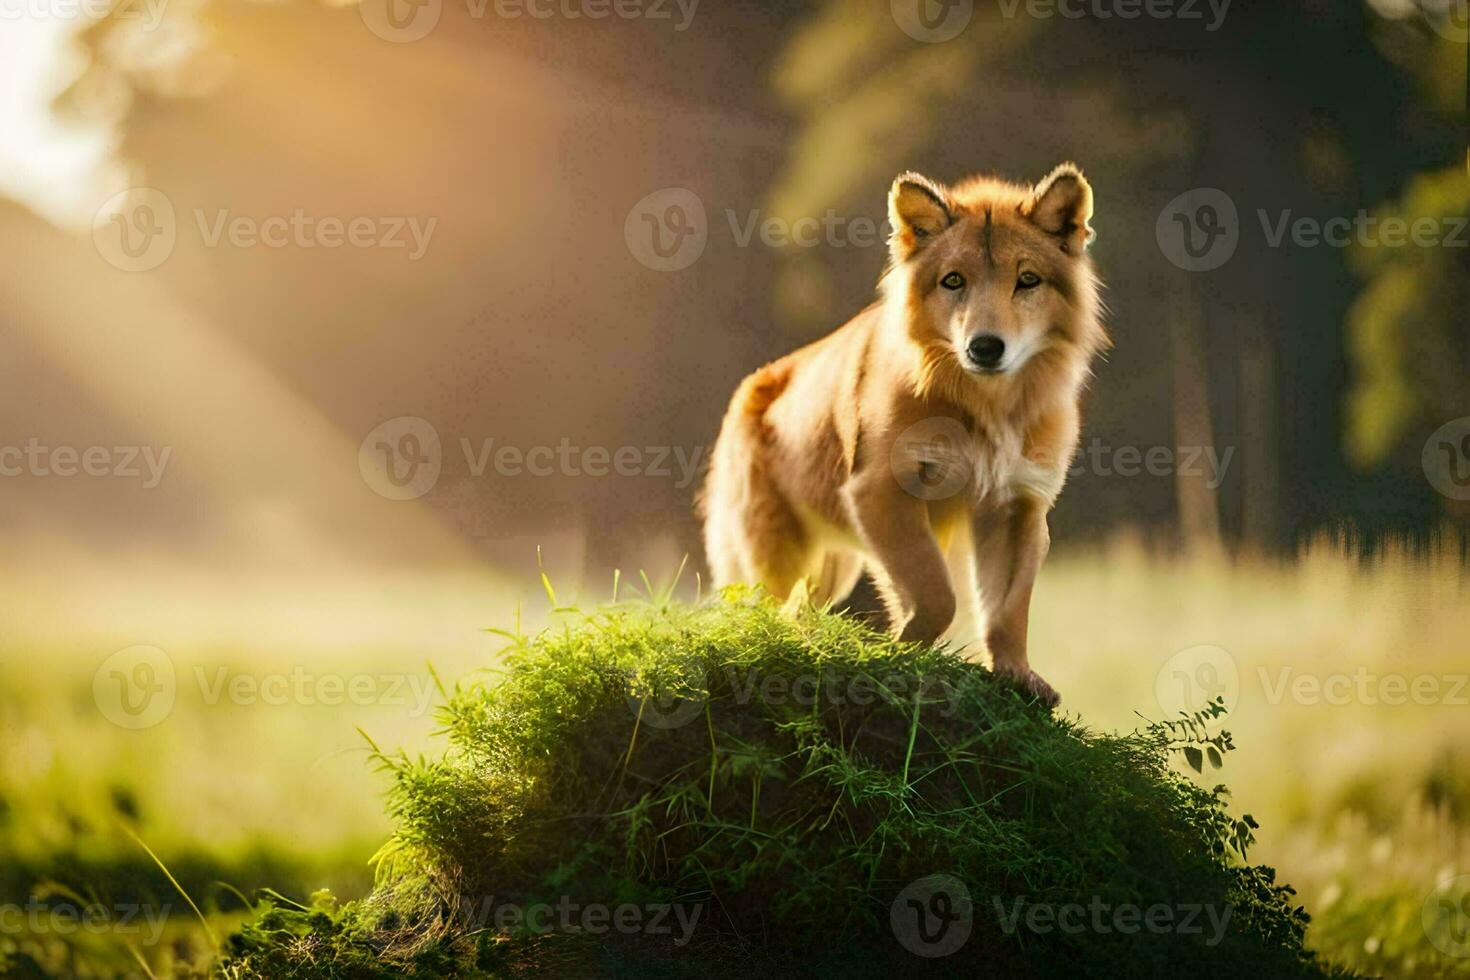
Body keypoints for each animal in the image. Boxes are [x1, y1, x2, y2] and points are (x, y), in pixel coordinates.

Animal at [699, 163, 1105, 705]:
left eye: (1027, 281)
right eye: (953, 281)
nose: (985, 347)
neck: (985, 408)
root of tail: (757, 385)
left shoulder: (1017, 507)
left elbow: (1007, 611)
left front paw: (1017, 675)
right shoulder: (881, 491)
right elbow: (935, 594)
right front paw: (899, 650)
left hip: (830, 567)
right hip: (777, 556)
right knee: (765, 611)